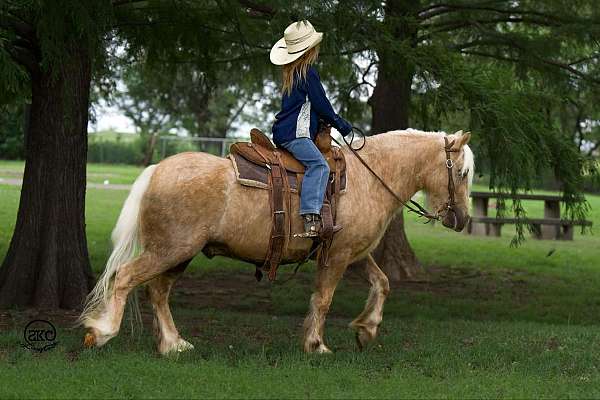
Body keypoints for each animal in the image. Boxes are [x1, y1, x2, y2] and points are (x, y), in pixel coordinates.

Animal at [81, 128, 474, 354]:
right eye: (462, 171)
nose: (462, 219)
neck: (370, 176)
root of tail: (157, 170)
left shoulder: (353, 253)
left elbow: (383, 283)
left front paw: (366, 329)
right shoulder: (338, 256)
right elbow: (324, 298)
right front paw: (316, 345)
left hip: (180, 254)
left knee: (158, 292)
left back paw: (173, 344)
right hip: (170, 249)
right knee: (125, 278)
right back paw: (102, 332)